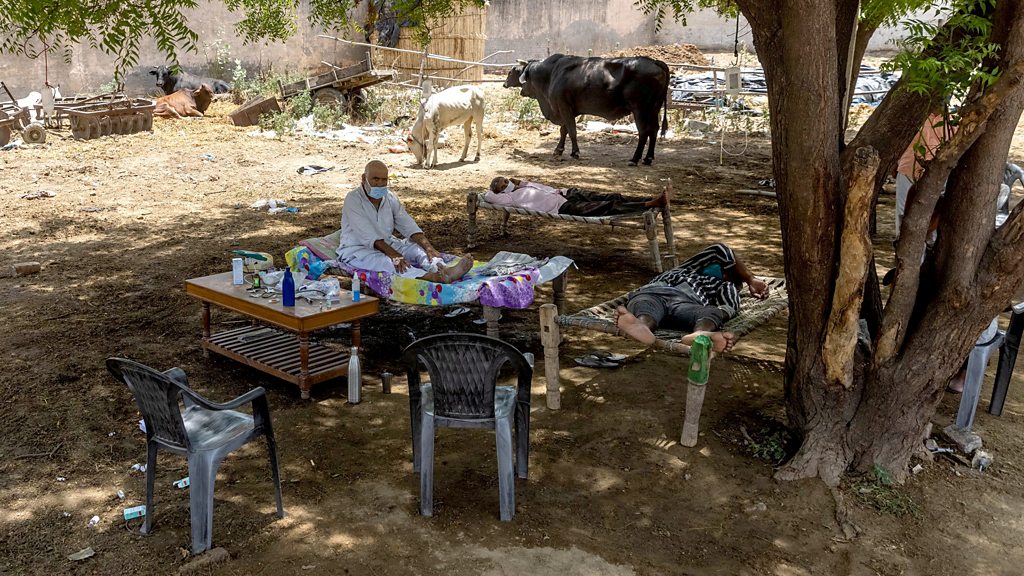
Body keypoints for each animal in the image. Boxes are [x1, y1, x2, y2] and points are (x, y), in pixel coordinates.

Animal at [503, 53, 671, 165]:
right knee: (654, 130)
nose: (504, 84)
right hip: (654, 109)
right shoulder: (567, 109)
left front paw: (575, 152)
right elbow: (564, 130)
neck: (550, 74)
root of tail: (654, 61)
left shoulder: (563, 107)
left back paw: (635, 159)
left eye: (511, 71)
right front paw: (558, 150)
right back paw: (648, 158)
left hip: (640, 110)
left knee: (644, 132)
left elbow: (572, 131)